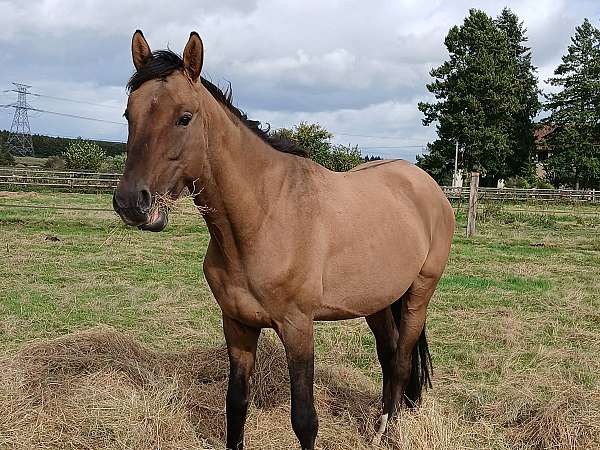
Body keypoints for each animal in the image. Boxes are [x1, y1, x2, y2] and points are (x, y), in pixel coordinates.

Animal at [115, 29, 454, 448]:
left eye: (184, 117)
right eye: (129, 115)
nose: (132, 202)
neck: (263, 218)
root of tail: (427, 186)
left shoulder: (298, 328)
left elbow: (305, 420)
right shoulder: (237, 326)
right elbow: (236, 405)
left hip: (419, 293)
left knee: (404, 360)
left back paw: (386, 430)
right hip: (377, 300)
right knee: (389, 356)